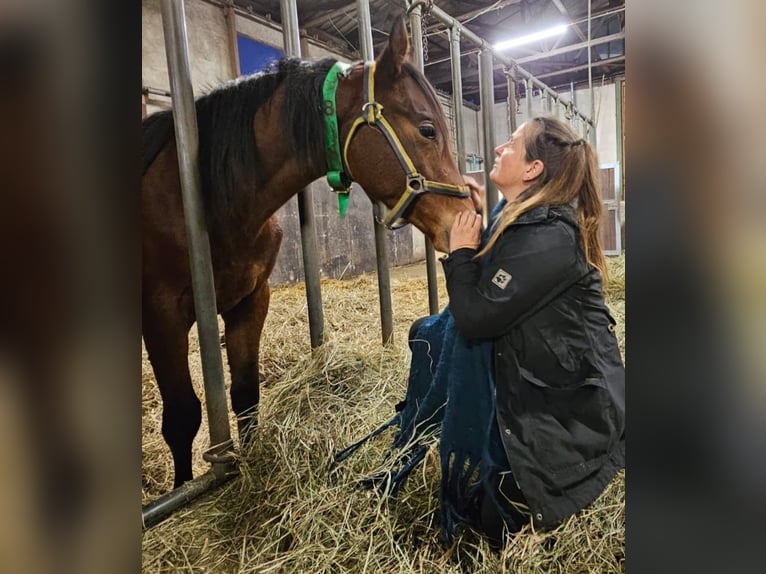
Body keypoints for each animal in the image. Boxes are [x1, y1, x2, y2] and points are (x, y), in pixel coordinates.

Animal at [142, 16, 476, 490]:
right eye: (428, 129)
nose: (464, 219)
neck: (208, 197)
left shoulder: (251, 300)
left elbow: (245, 394)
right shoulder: (162, 316)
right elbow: (182, 417)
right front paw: (185, 489)